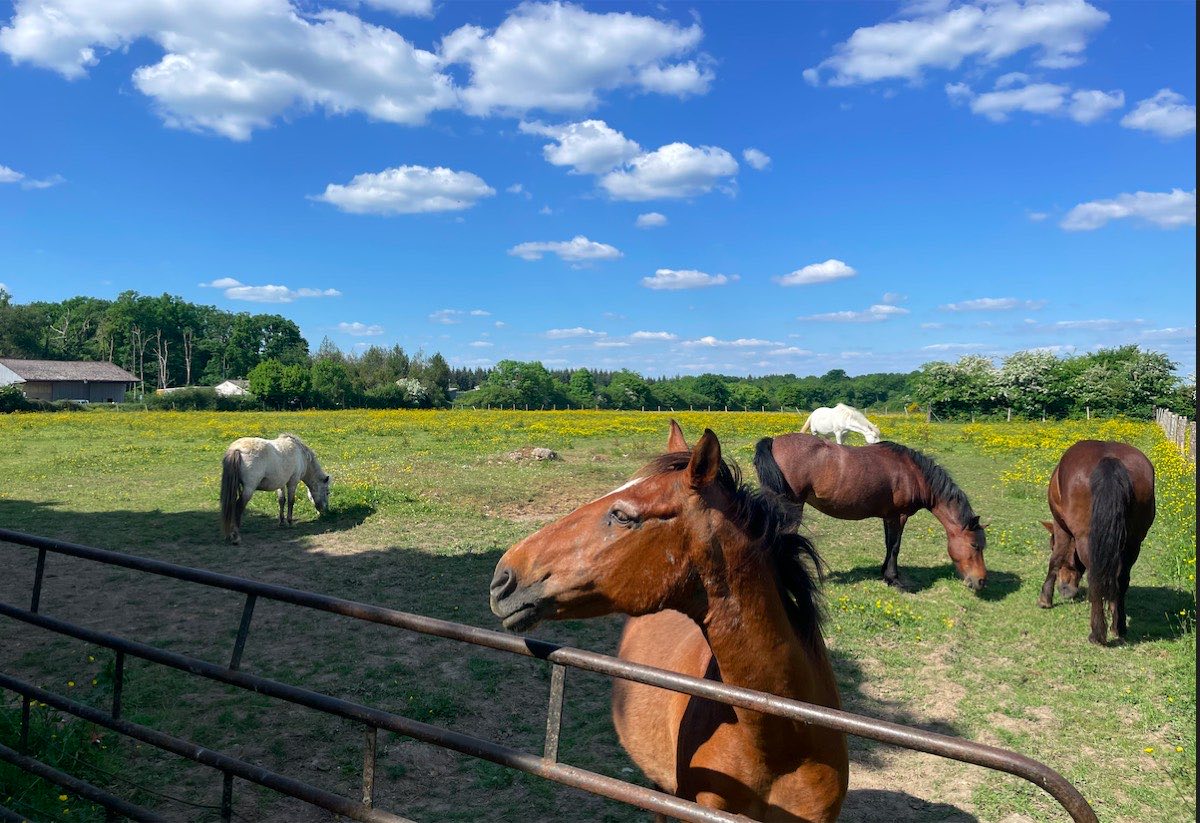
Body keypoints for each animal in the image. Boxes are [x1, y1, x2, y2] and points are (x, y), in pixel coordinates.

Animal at [754, 433, 987, 591]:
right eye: (974, 545)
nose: (981, 581)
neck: (913, 473)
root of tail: (774, 441)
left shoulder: (888, 516)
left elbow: (888, 544)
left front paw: (884, 573)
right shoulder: (899, 516)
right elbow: (895, 546)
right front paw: (894, 579)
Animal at [1037, 440, 1155, 644]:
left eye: (1050, 545)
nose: (1065, 589)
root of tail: (1110, 460)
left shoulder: (1061, 528)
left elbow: (1056, 559)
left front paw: (1045, 598)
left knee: (1095, 578)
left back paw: (1097, 634)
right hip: (1133, 543)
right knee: (1121, 578)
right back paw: (1118, 627)